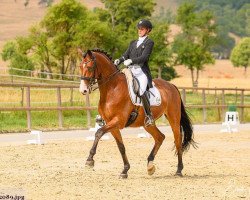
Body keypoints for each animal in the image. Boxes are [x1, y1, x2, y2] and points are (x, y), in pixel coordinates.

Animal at [78, 48, 195, 178]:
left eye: (90, 67)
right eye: (80, 67)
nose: (83, 90)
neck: (112, 89)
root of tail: (172, 86)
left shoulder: (118, 121)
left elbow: (98, 132)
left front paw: (90, 160)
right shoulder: (112, 124)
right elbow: (121, 146)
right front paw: (125, 170)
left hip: (173, 118)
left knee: (177, 140)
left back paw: (179, 170)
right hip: (147, 124)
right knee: (160, 137)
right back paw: (150, 166)